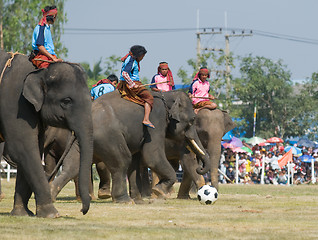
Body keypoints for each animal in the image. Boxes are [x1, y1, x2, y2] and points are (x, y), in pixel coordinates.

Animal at [0, 50, 93, 218]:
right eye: (66, 101)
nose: (82, 210)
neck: (40, 71)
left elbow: (34, 148)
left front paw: (22, 214)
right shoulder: (15, 104)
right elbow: (23, 148)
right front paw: (52, 214)